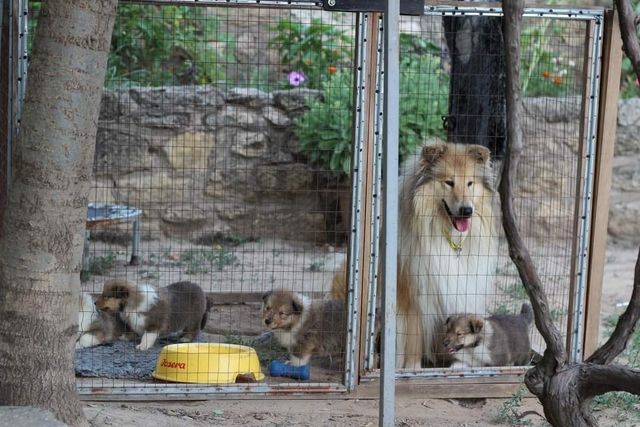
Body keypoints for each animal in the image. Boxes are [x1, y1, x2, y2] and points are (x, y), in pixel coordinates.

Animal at [332, 143, 498, 368]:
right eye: (449, 182)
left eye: (470, 183)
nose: (466, 210)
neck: (447, 236)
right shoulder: (413, 299)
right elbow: (413, 340)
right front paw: (412, 368)